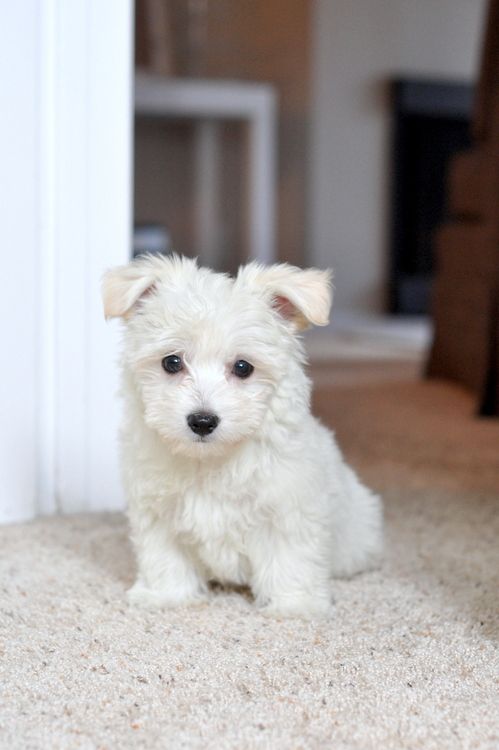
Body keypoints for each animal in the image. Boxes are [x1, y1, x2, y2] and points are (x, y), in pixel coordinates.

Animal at [101, 256, 382, 620]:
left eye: (243, 367)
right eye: (171, 362)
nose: (202, 421)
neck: (211, 459)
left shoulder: (288, 509)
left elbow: (291, 558)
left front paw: (295, 605)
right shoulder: (158, 511)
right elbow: (164, 557)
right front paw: (166, 596)